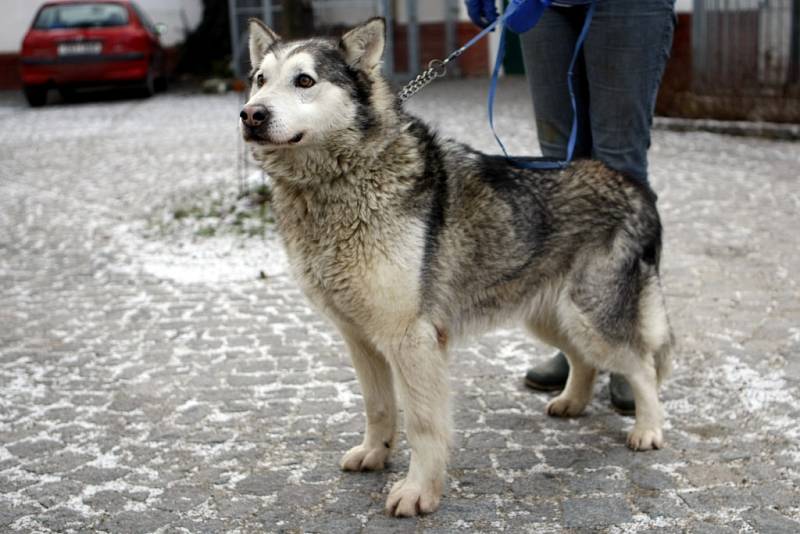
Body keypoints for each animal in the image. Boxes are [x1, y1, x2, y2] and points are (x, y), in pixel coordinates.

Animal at [241, 17, 672, 520]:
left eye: (305, 81)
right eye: (260, 80)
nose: (251, 115)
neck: (339, 183)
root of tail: (634, 186)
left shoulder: (411, 340)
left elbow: (423, 424)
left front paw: (417, 493)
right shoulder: (359, 339)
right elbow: (377, 407)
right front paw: (374, 454)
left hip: (590, 318)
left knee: (641, 365)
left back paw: (648, 429)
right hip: (549, 318)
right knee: (583, 361)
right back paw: (570, 403)